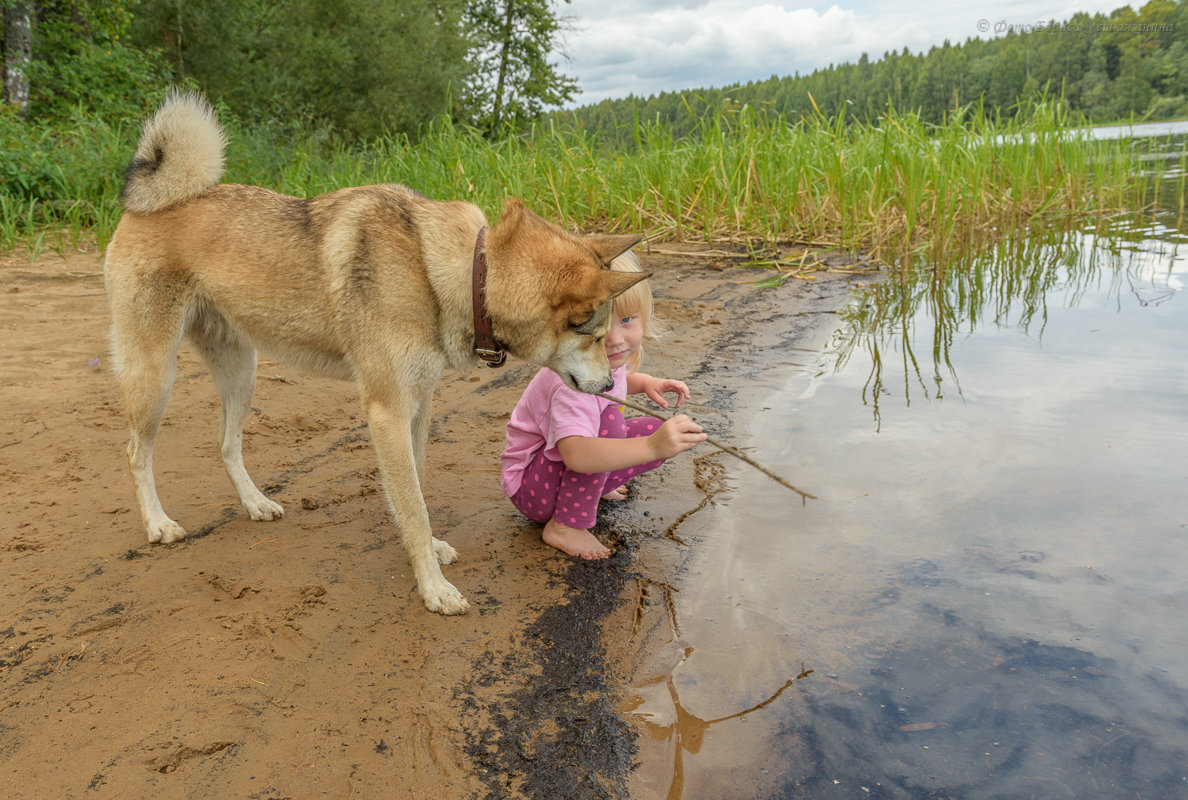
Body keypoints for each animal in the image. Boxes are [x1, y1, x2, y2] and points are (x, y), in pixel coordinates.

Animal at [103, 93, 646, 613]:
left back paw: (255, 503)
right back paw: (158, 524)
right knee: (134, 451)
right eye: (597, 335)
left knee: (226, 445)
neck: (460, 270)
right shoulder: (388, 412)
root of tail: (151, 204)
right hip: (156, 376)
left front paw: (431, 551)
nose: (608, 386)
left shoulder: (419, 405)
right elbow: (412, 504)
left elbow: (418, 491)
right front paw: (433, 588)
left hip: (242, 373)